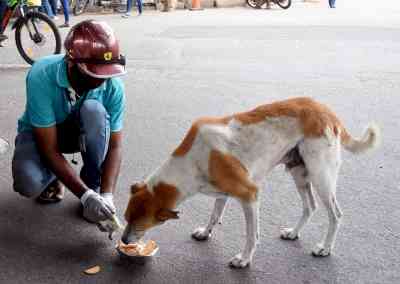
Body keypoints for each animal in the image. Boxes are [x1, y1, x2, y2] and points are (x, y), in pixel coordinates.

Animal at [121, 97, 378, 268]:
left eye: (140, 224)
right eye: (126, 218)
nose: (123, 240)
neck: (192, 160)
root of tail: (327, 111)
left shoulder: (250, 194)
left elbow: (251, 235)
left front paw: (244, 259)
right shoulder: (222, 192)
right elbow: (215, 214)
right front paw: (205, 232)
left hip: (321, 176)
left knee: (336, 214)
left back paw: (325, 247)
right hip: (300, 172)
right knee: (310, 207)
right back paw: (293, 233)